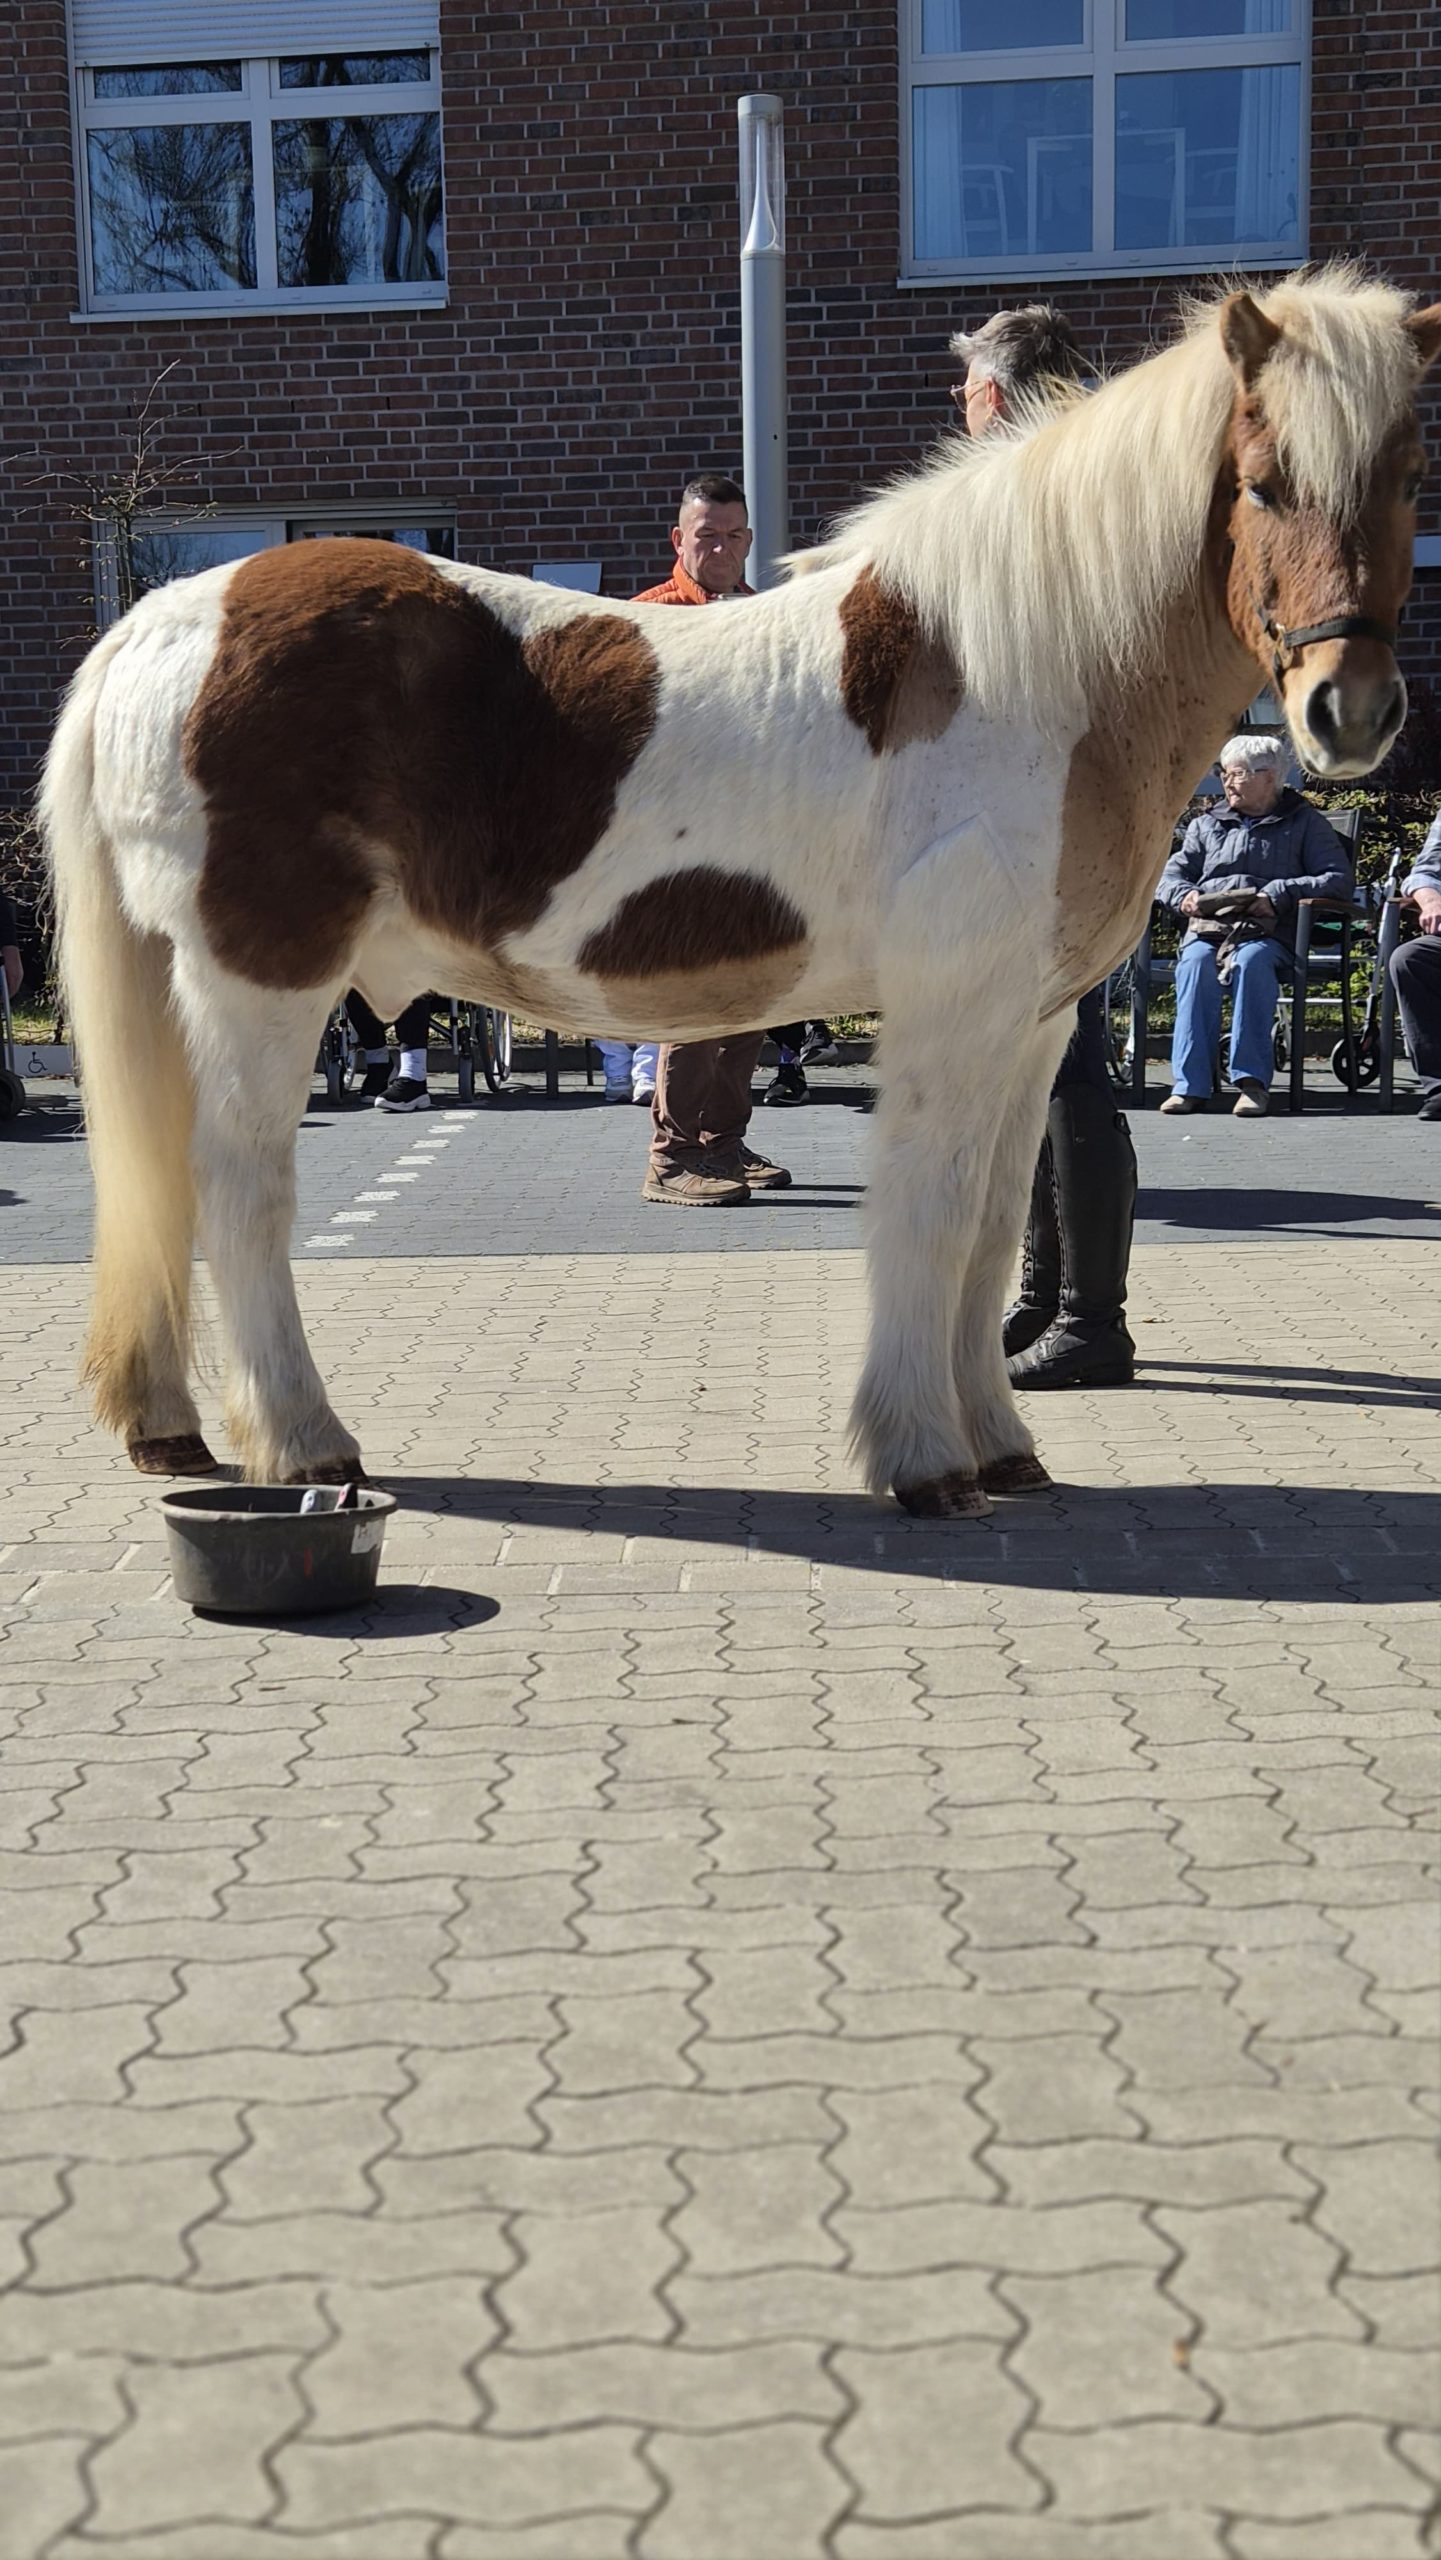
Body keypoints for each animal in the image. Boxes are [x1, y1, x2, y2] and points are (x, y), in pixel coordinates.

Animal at [43, 269, 1440, 1517]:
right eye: (1260, 482)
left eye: (1407, 483)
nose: (1349, 711)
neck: (1029, 668)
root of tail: (170, 613)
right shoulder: (950, 1016)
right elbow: (931, 1220)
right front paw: (922, 1459)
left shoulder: (1030, 1025)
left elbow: (997, 1222)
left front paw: (999, 1444)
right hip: (264, 979)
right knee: (238, 1188)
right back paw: (307, 1442)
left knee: (163, 1177)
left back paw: (170, 1429)